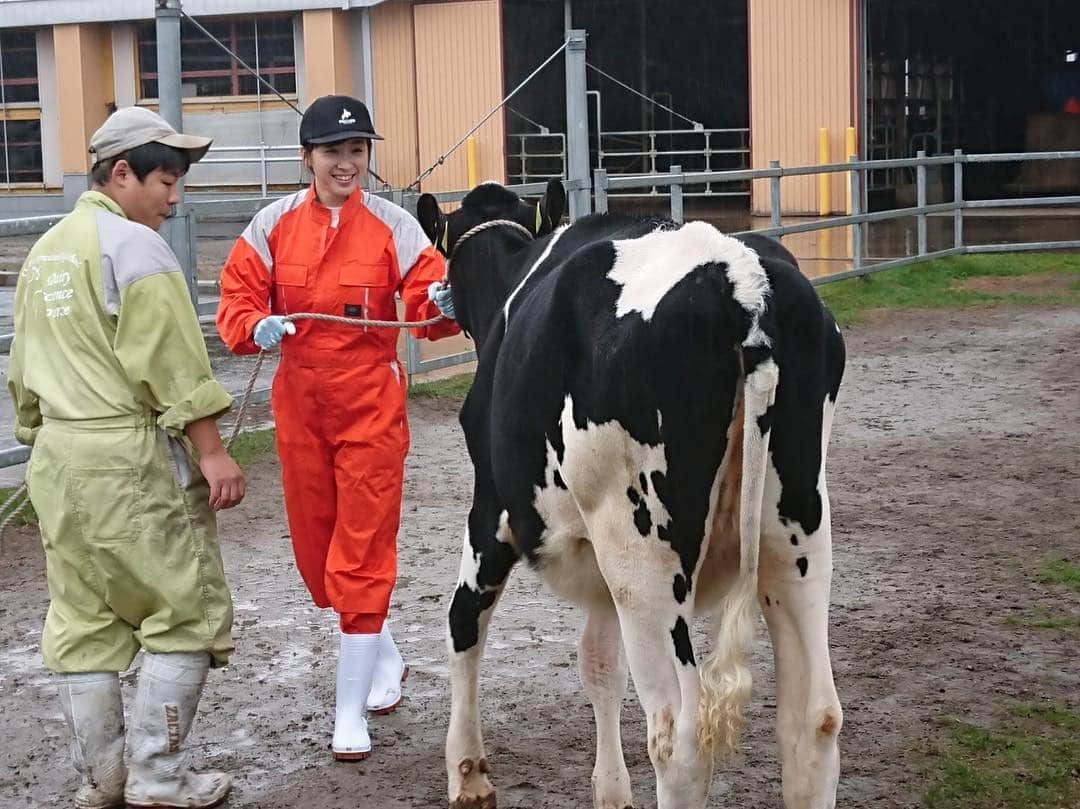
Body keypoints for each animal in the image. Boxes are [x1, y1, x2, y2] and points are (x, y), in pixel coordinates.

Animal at [416, 181, 846, 807]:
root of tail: (740, 281)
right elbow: (599, 662)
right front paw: (612, 790)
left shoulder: (492, 510)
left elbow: (463, 620)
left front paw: (468, 774)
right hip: (796, 532)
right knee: (813, 720)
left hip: (644, 558)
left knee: (679, 738)